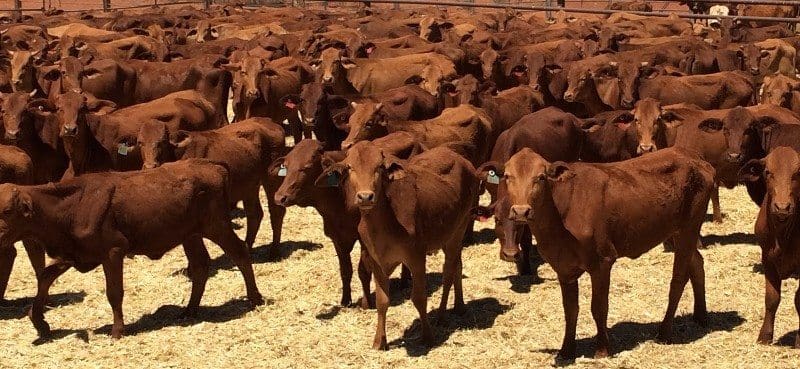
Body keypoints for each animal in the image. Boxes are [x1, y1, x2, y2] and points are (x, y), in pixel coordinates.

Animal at [0, 160, 266, 338]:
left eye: (7, 210)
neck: (72, 204)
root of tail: (213, 166)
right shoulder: (72, 255)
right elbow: (44, 277)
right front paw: (40, 323)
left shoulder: (114, 251)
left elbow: (114, 292)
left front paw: (118, 330)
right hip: (190, 235)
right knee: (200, 266)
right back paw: (190, 310)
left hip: (217, 226)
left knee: (240, 252)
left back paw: (255, 299)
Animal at [320, 142, 482, 350]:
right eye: (350, 167)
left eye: (379, 167)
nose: (365, 197)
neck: (385, 223)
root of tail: (465, 162)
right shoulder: (376, 262)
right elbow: (382, 301)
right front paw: (379, 341)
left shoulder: (417, 258)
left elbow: (419, 298)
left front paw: (427, 337)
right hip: (449, 235)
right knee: (457, 266)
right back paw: (459, 306)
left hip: (459, 230)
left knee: (448, 273)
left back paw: (441, 315)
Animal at [478, 147, 716, 360]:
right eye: (507, 176)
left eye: (541, 177)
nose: (521, 211)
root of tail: (694, 157)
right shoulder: (564, 268)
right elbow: (570, 310)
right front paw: (566, 351)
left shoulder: (602, 261)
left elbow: (599, 307)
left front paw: (602, 350)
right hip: (676, 231)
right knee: (697, 263)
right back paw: (701, 316)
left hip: (689, 227)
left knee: (678, 278)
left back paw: (664, 332)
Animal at [740, 145, 800, 346]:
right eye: (768, 172)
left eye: (797, 173)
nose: (782, 207)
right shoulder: (767, 258)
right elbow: (772, 298)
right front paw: (764, 336)